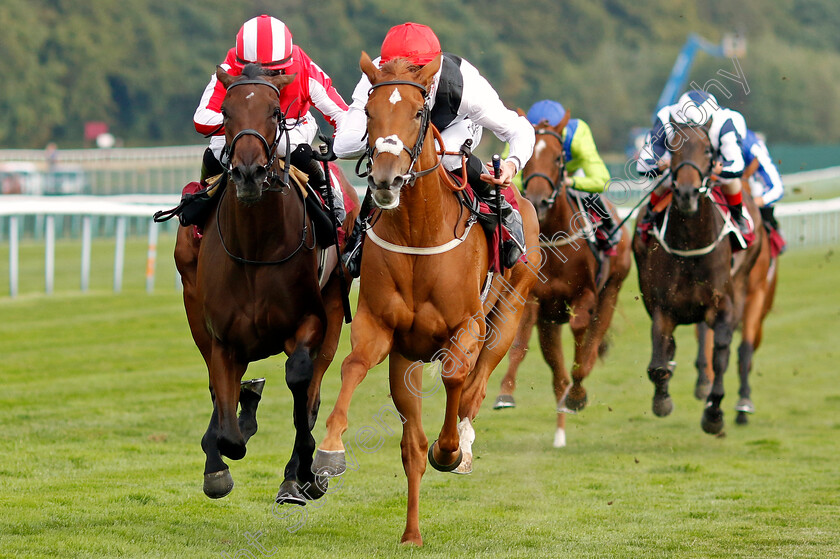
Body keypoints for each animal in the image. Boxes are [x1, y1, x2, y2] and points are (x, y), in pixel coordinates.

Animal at [174, 63, 358, 506]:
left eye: (276, 112)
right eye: (226, 112)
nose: (248, 173)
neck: (256, 247)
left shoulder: (309, 321)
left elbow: (299, 380)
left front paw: (302, 472)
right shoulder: (221, 336)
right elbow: (228, 429)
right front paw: (218, 463)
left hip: (333, 304)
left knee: (311, 392)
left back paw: (300, 476)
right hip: (193, 306)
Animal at [308, 53, 540, 548]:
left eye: (418, 113)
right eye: (370, 113)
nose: (386, 178)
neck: (418, 229)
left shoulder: (467, 327)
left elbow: (455, 377)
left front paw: (450, 449)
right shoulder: (381, 330)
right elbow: (353, 366)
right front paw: (329, 452)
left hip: (508, 314)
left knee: (477, 384)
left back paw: (462, 444)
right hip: (407, 360)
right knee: (411, 445)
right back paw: (411, 533)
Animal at [492, 119, 632, 450]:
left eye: (559, 158)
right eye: (529, 157)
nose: (539, 199)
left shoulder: (585, 296)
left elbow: (582, 338)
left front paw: (578, 396)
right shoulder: (534, 299)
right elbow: (519, 343)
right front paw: (505, 392)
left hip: (612, 290)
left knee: (589, 350)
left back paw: (575, 396)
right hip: (549, 322)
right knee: (558, 377)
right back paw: (559, 431)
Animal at [632, 117, 764, 434]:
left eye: (707, 150)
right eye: (673, 149)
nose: (686, 194)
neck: (691, 244)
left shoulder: (724, 306)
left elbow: (720, 355)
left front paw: (714, 413)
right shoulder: (662, 307)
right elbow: (658, 362)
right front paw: (662, 400)